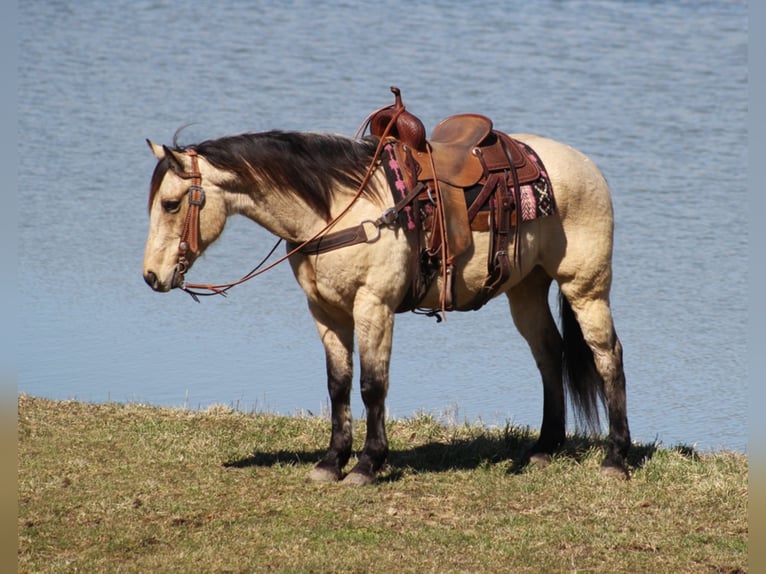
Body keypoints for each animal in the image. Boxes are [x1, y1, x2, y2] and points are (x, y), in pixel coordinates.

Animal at [141, 88, 632, 484]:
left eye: (170, 204)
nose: (151, 276)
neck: (340, 206)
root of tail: (585, 165)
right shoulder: (325, 311)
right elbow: (338, 384)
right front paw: (331, 462)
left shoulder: (373, 306)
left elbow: (373, 384)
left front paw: (367, 464)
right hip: (526, 289)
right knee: (549, 354)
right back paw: (545, 448)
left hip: (585, 287)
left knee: (607, 356)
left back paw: (616, 458)